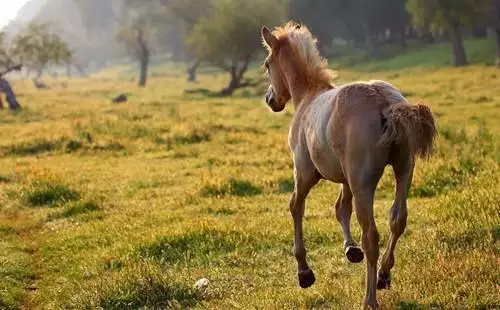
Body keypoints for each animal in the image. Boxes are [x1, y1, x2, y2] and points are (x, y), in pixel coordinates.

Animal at [260, 21, 436, 308]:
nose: (270, 99)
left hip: (364, 184)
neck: (307, 97)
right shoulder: (346, 178)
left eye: (267, 64)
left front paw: (304, 273)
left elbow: (296, 207)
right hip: (403, 170)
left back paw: (370, 299)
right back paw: (383, 276)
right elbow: (341, 207)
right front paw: (351, 250)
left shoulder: (305, 173)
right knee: (397, 220)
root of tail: (385, 103)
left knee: (371, 235)